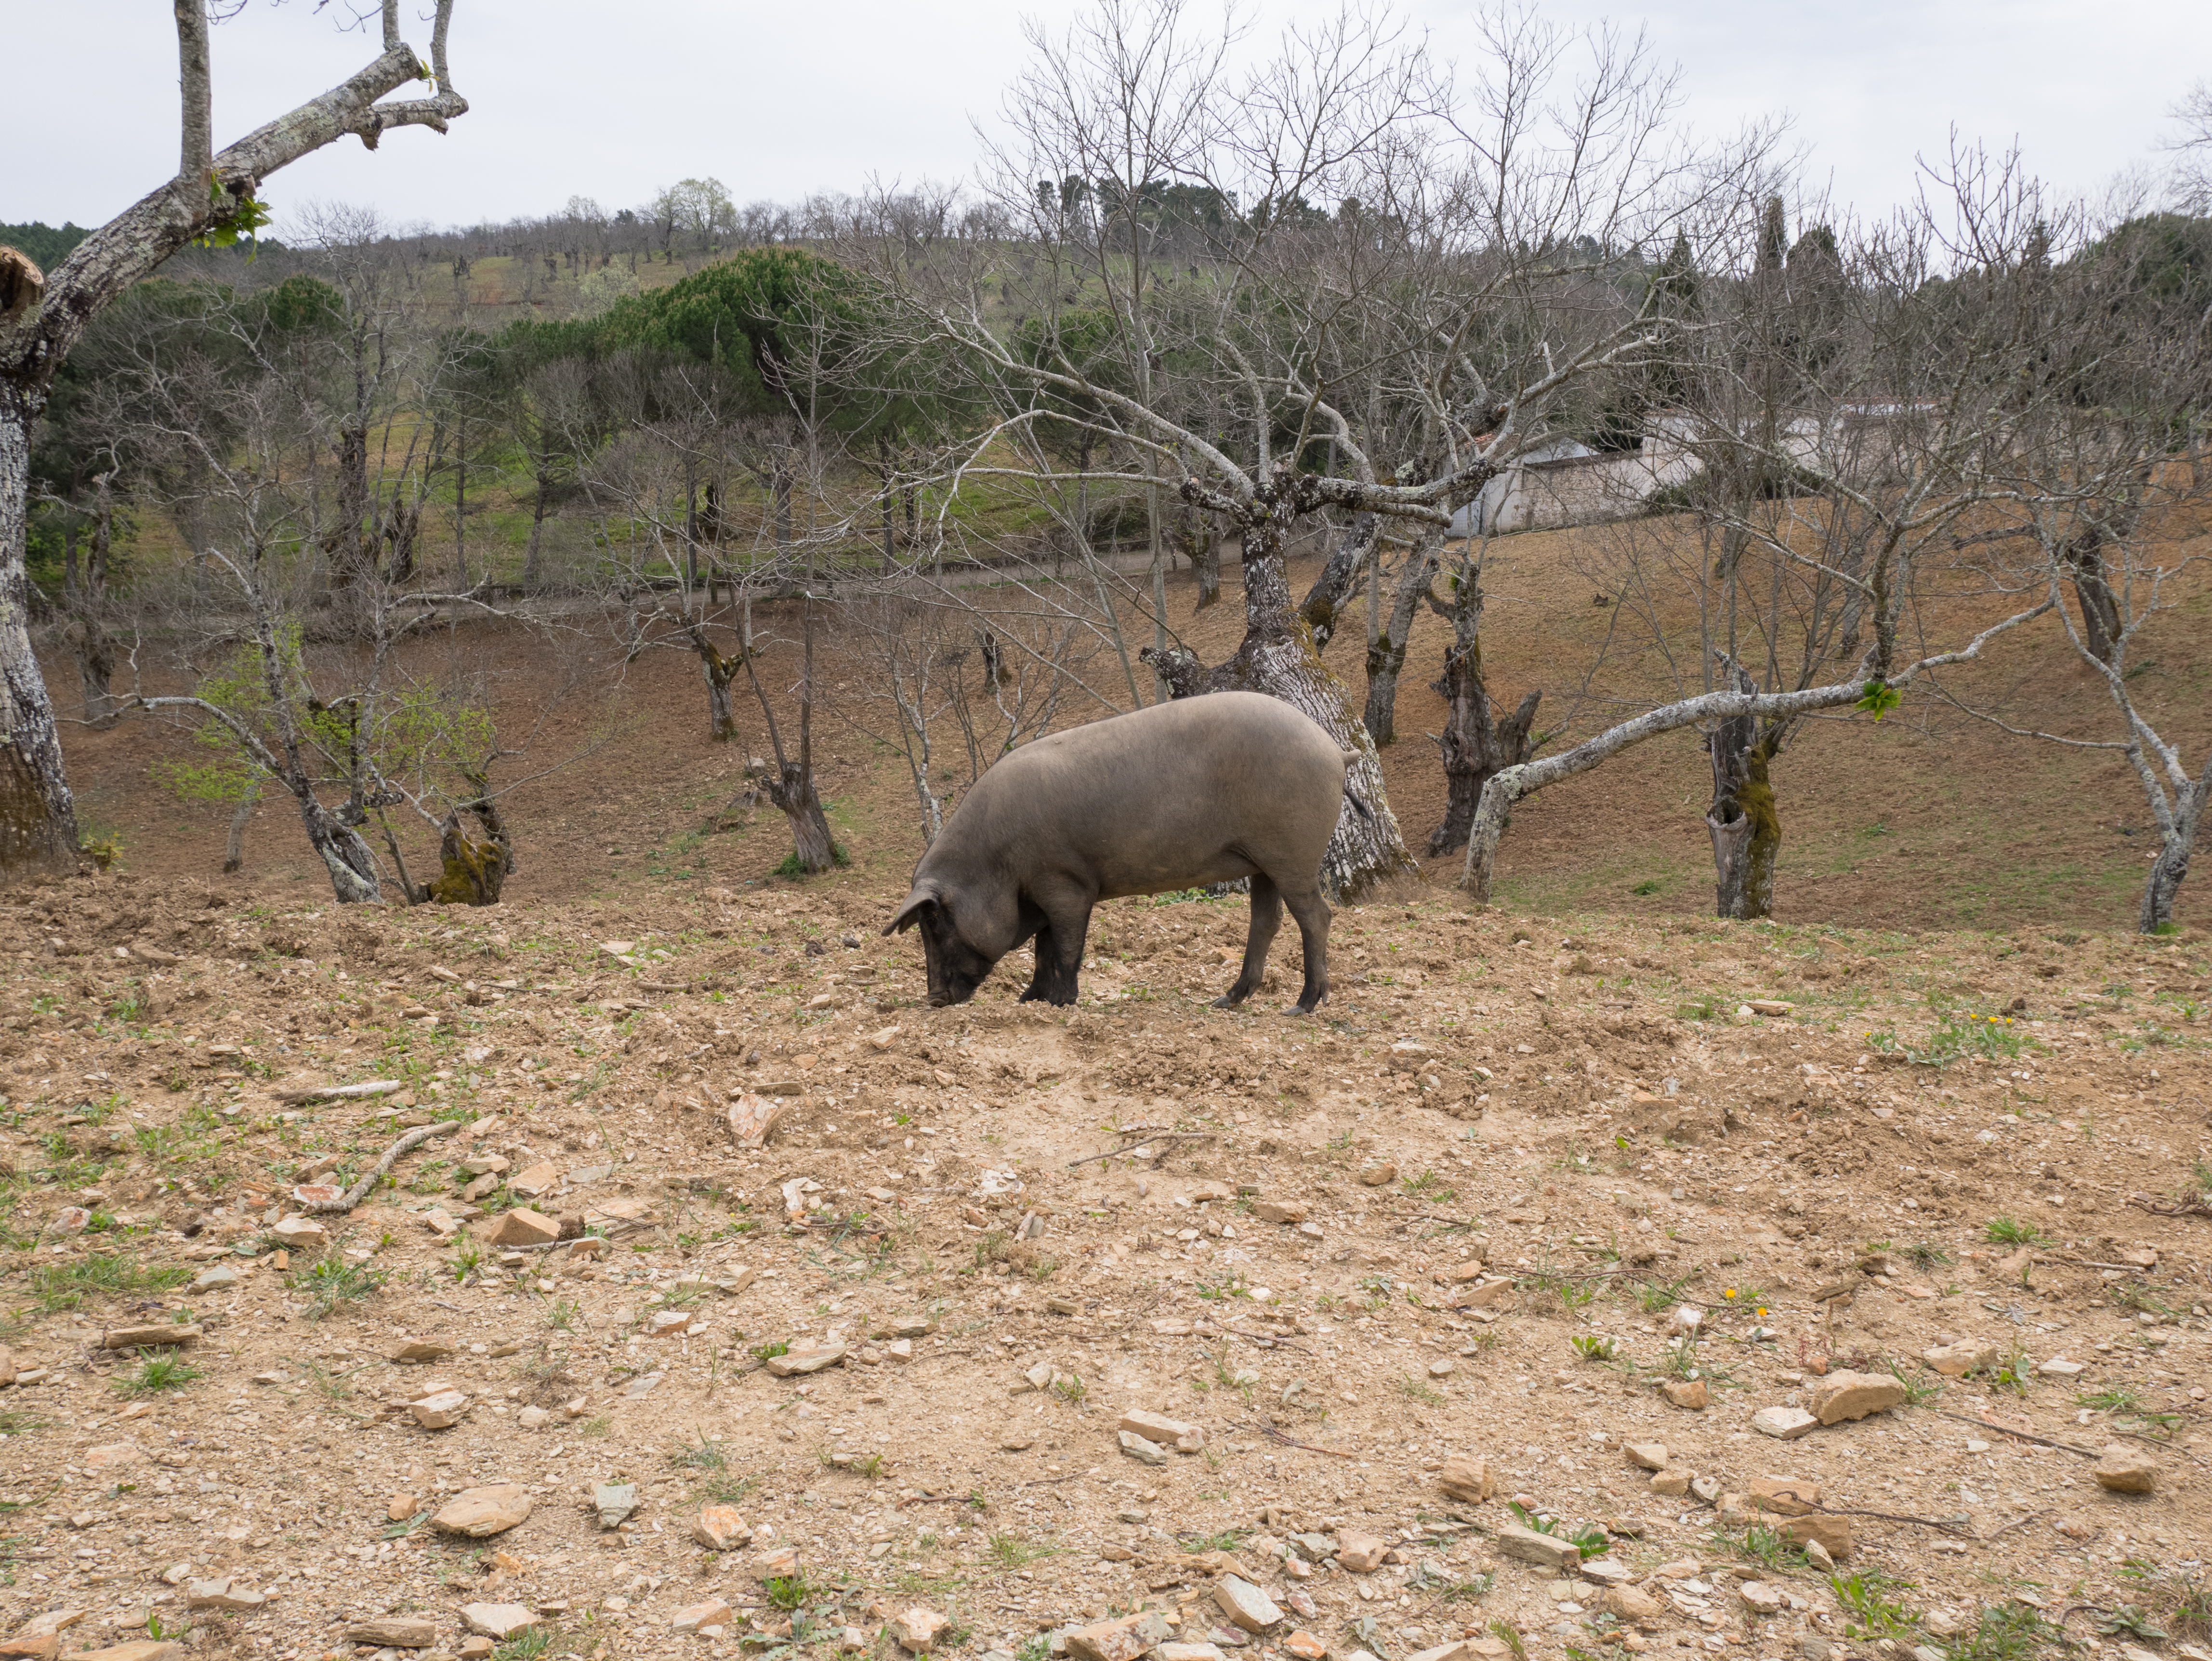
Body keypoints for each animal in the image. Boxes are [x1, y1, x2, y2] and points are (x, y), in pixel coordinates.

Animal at [884, 690, 1358, 1013]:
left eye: (935, 923)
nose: (933, 998)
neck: (995, 863)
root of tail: (1335, 750)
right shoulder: (1041, 892)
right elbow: (1042, 946)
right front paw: (1028, 1000)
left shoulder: (1066, 883)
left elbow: (1065, 945)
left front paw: (1060, 1003)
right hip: (1263, 862)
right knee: (1266, 922)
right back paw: (1226, 1001)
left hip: (1294, 854)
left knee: (1317, 917)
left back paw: (1301, 1006)